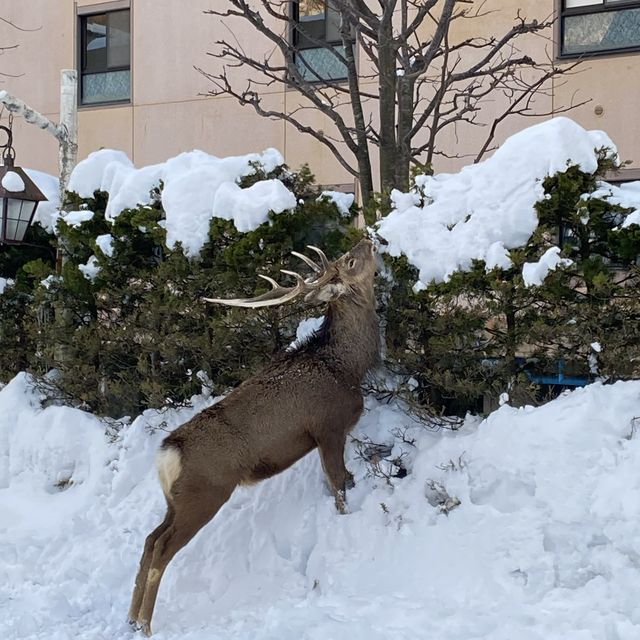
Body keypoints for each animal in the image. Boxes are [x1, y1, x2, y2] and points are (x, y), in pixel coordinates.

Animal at [127, 239, 378, 636]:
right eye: (351, 261)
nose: (368, 240)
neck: (347, 366)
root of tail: (167, 453)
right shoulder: (328, 427)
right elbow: (339, 483)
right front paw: (345, 520)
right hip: (204, 494)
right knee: (162, 548)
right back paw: (146, 624)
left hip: (174, 501)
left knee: (150, 539)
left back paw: (131, 621)